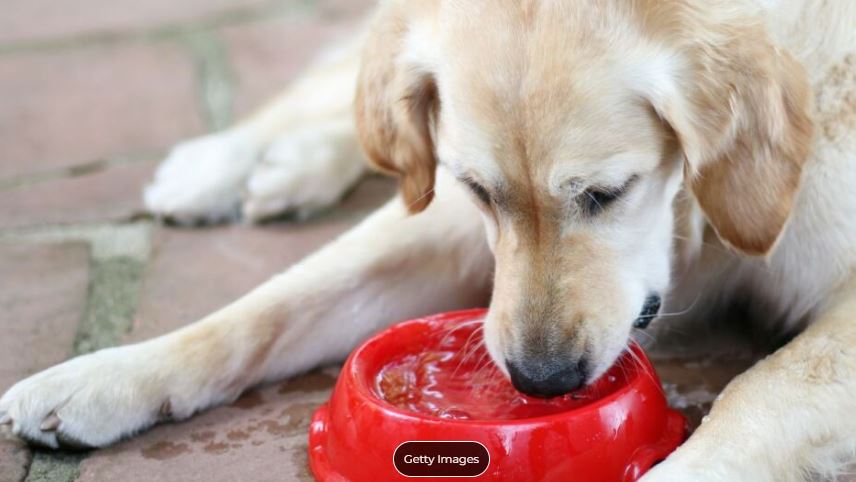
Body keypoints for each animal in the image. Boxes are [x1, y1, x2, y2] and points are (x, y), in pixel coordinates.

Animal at [1, 0, 856, 480]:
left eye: (607, 194)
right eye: (480, 189)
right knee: (359, 85)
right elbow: (267, 307)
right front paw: (107, 376)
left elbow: (762, 389)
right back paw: (228, 163)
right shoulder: (448, 217)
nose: (542, 381)